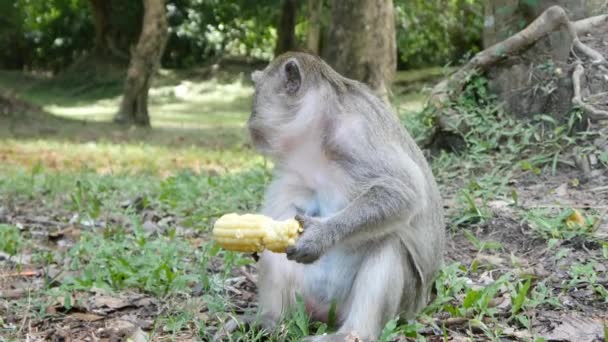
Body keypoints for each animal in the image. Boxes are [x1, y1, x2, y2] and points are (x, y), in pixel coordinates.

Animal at [217, 51, 442, 342]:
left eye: (257, 95)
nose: (250, 125)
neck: (319, 134)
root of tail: (324, 314)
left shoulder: (357, 133)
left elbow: (404, 191)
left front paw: (320, 235)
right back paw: (269, 320)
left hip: (401, 304)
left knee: (389, 240)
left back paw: (351, 334)